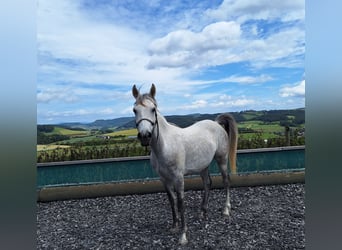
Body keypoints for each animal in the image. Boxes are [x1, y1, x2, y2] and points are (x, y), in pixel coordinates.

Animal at [132, 84, 238, 244]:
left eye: (153, 109)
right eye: (134, 110)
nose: (145, 136)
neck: (164, 146)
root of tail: (216, 123)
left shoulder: (178, 178)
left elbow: (181, 202)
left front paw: (183, 235)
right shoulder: (164, 179)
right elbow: (172, 200)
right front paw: (174, 226)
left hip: (222, 160)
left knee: (226, 181)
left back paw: (226, 209)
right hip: (203, 166)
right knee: (207, 183)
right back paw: (202, 212)